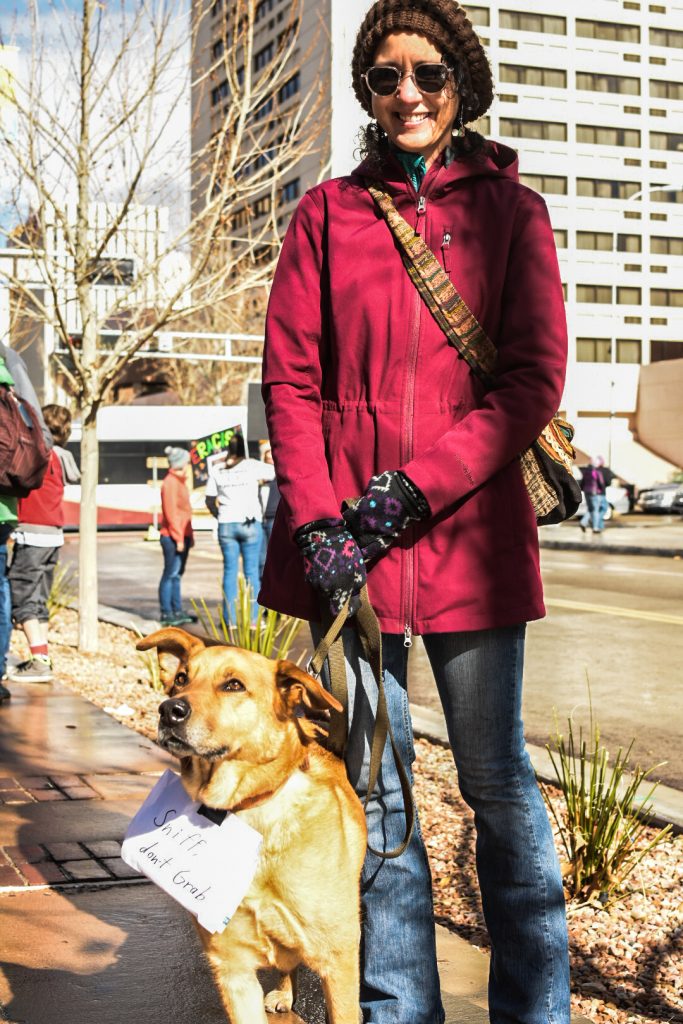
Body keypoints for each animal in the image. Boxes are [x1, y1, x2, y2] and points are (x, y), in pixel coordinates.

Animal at [135, 626, 366, 1019]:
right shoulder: (232, 970)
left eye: (233, 685)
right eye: (181, 679)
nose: (169, 710)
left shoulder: (338, 963)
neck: (243, 809)